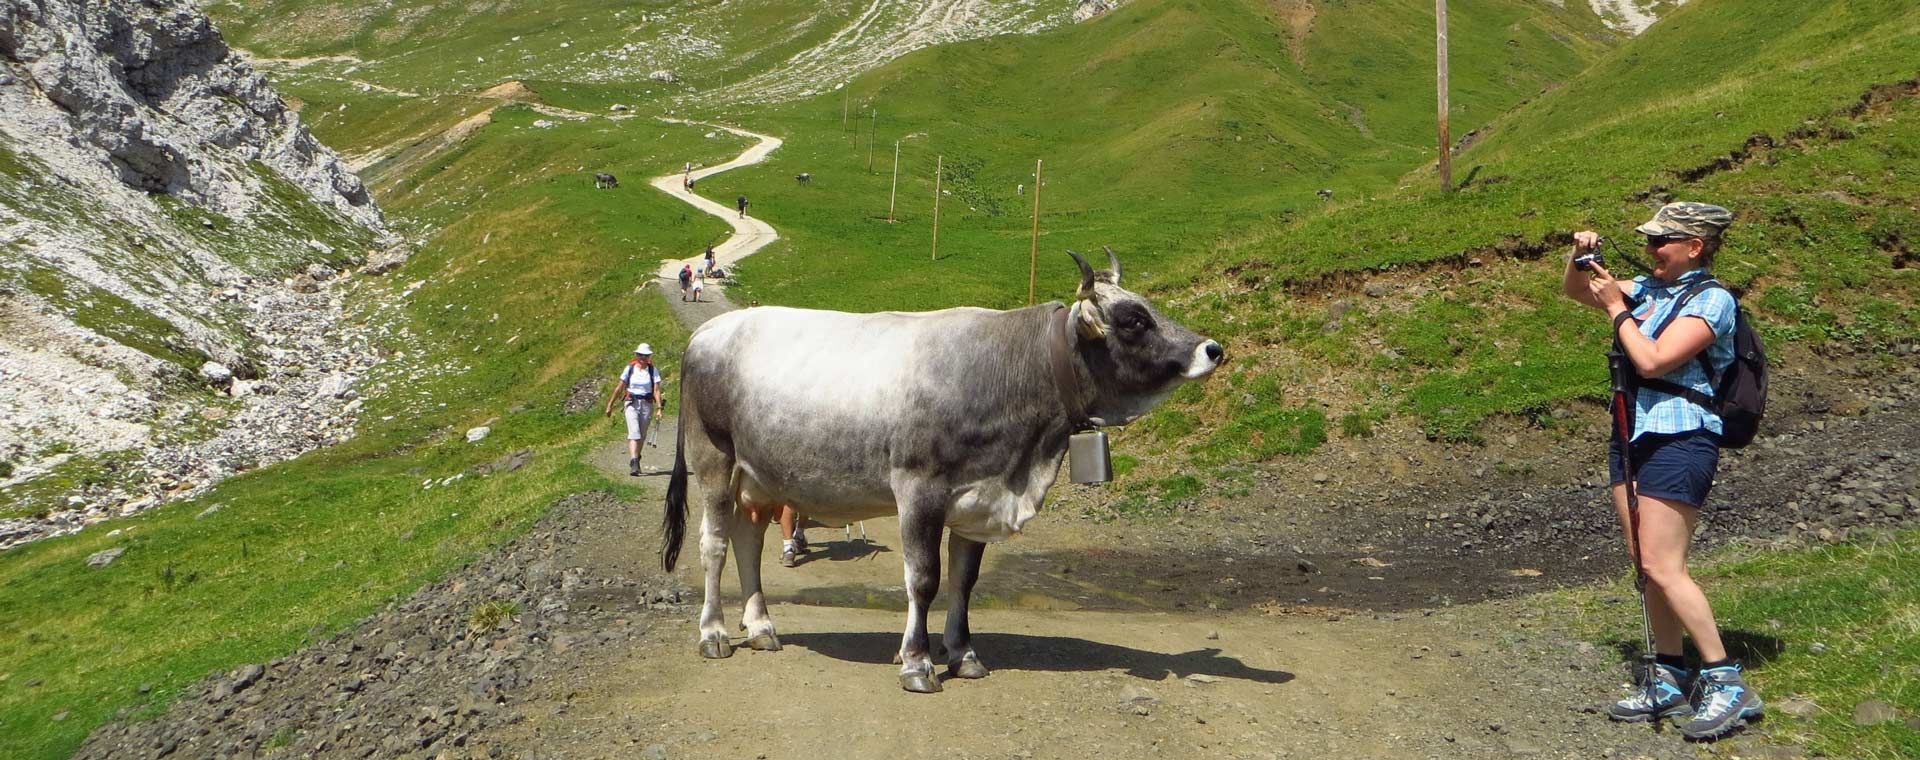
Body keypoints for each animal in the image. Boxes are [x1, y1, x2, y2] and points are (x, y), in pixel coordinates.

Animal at [662, 248, 1224, 693]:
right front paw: (917, 662)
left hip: (759, 477)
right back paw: (713, 633)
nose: (1211, 348)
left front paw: (963, 654)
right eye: (1133, 320)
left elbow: (964, 580)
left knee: (748, 541)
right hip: (714, 461)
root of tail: (709, 332)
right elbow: (924, 578)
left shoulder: (977, 498)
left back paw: (761, 627)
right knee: (714, 544)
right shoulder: (919, 489)